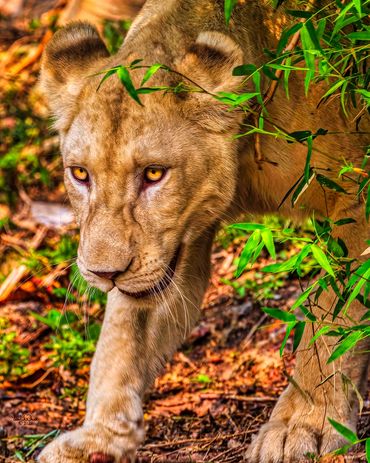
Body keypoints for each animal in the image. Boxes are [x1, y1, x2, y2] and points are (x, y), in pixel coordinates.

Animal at [39, 1, 368, 462]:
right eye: (80, 174)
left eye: (154, 173)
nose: (105, 274)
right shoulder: (173, 249)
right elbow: (121, 338)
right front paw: (98, 439)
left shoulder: (358, 193)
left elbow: (333, 314)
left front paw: (303, 425)